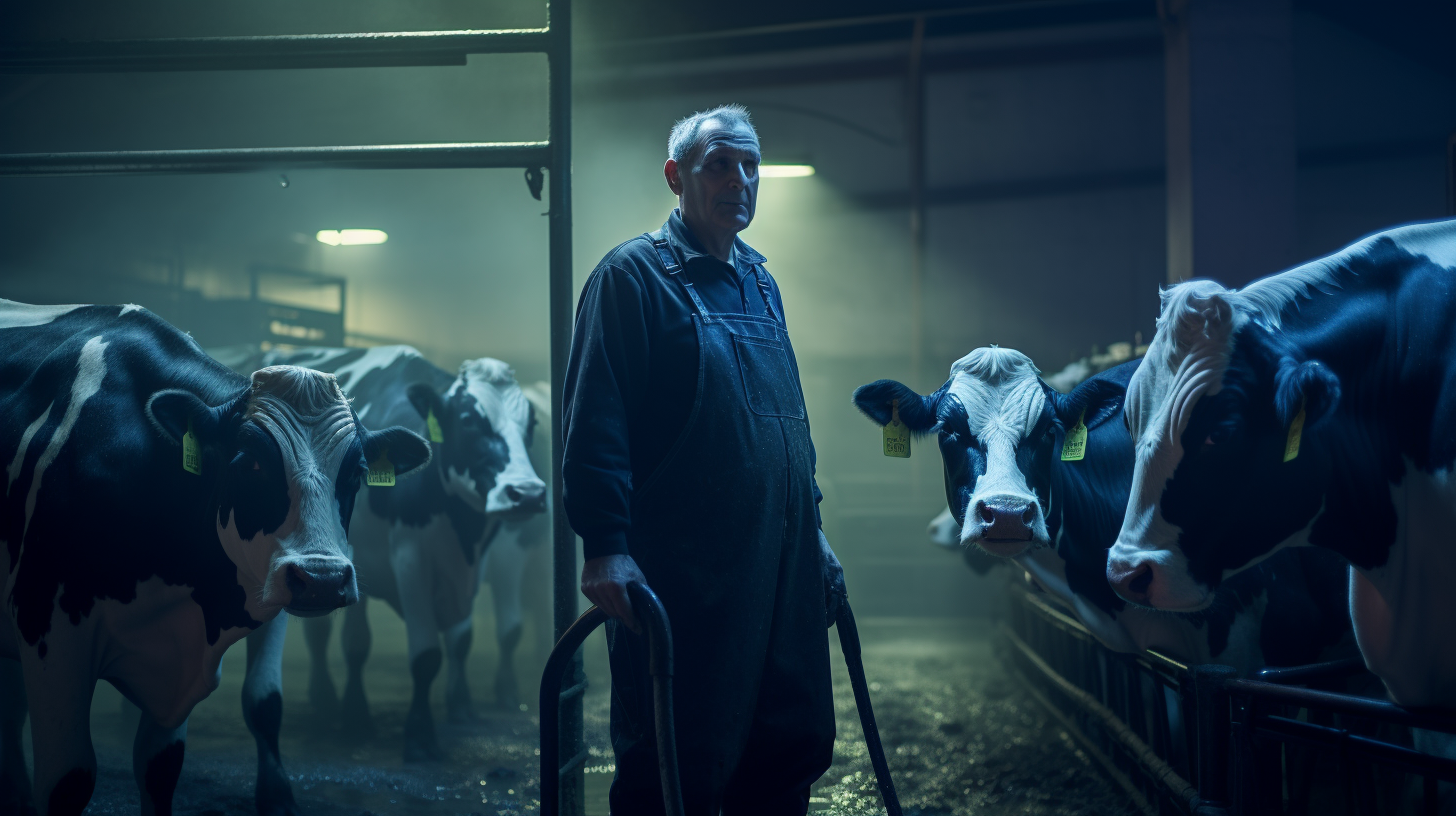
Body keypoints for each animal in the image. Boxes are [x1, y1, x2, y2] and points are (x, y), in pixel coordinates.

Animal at [0, 300, 430, 816]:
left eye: (357, 472)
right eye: (251, 464)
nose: (323, 578)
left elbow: (173, 762)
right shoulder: (46, 624)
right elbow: (68, 782)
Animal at [247, 345, 547, 763]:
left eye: (531, 422)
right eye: (468, 420)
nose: (528, 493)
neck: (459, 527)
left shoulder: (477, 563)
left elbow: (462, 641)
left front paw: (461, 707)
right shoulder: (411, 560)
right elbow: (426, 656)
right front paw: (420, 737)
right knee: (331, 638)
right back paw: (336, 705)